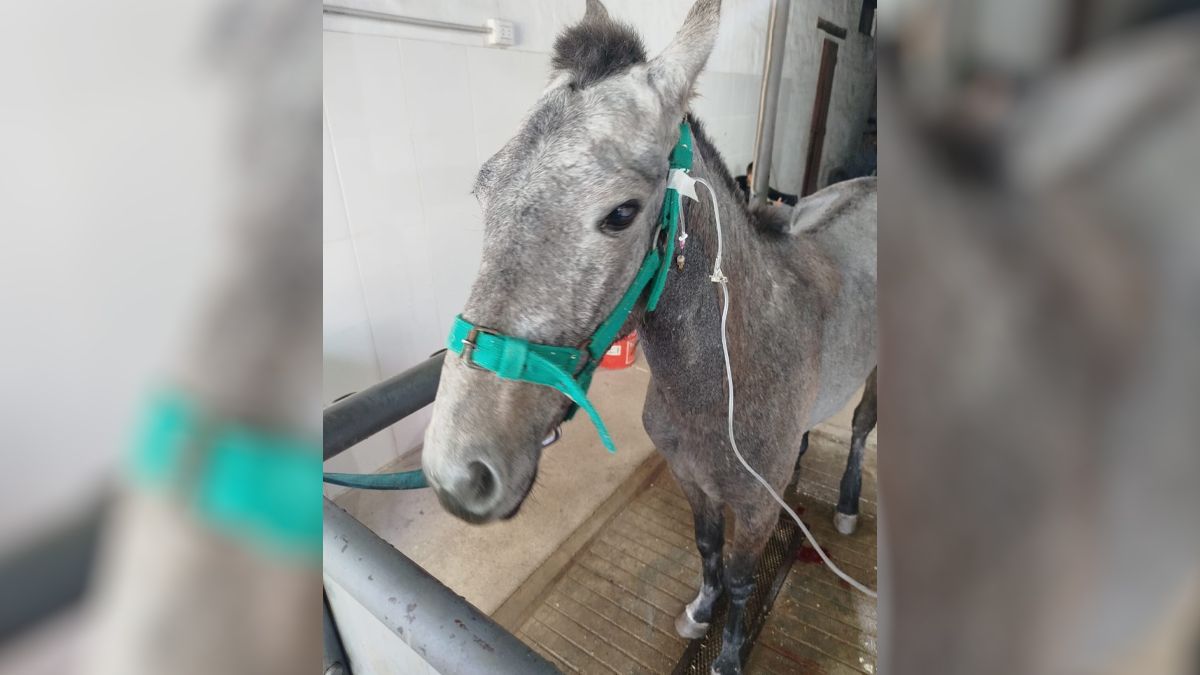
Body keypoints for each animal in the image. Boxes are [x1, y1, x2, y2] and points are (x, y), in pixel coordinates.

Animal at [421, 1, 877, 672]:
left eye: (621, 213)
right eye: (487, 189)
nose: (457, 472)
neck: (723, 380)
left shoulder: (756, 508)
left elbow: (742, 578)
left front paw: (727, 655)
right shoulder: (690, 477)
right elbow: (707, 549)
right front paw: (700, 612)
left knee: (862, 429)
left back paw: (846, 505)